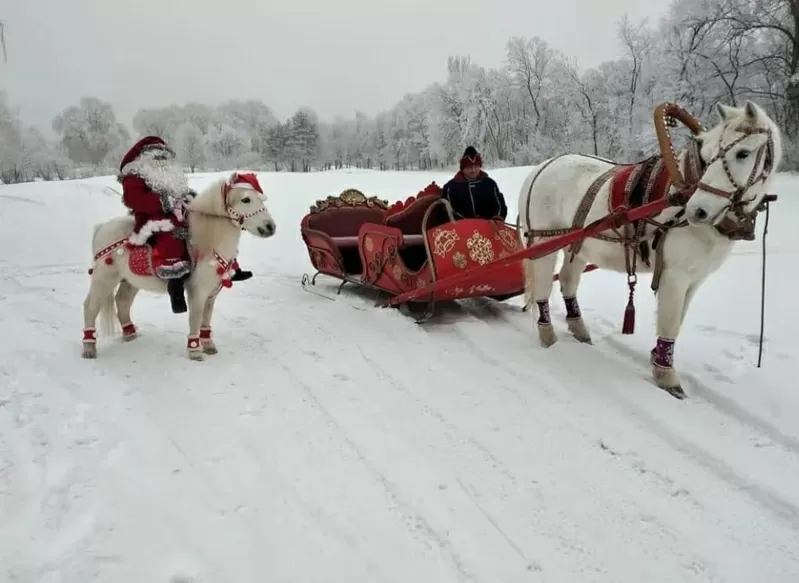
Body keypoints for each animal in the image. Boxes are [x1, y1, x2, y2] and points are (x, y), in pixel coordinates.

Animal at [82, 170, 278, 360]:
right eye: (246, 199)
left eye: (261, 198)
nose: (270, 227)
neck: (207, 241)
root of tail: (101, 227)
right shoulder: (197, 292)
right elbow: (195, 318)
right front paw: (195, 350)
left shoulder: (211, 293)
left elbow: (206, 319)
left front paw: (208, 345)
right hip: (104, 278)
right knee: (90, 306)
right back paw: (89, 347)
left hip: (130, 281)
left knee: (122, 302)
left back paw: (130, 335)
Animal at [520, 102, 780, 400]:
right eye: (709, 154)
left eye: (743, 153)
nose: (697, 211)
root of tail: (541, 167)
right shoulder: (675, 275)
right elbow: (669, 321)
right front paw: (667, 376)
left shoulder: (696, 278)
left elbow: (678, 320)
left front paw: (657, 357)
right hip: (543, 242)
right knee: (542, 286)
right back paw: (547, 335)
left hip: (579, 245)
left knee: (567, 280)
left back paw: (579, 329)